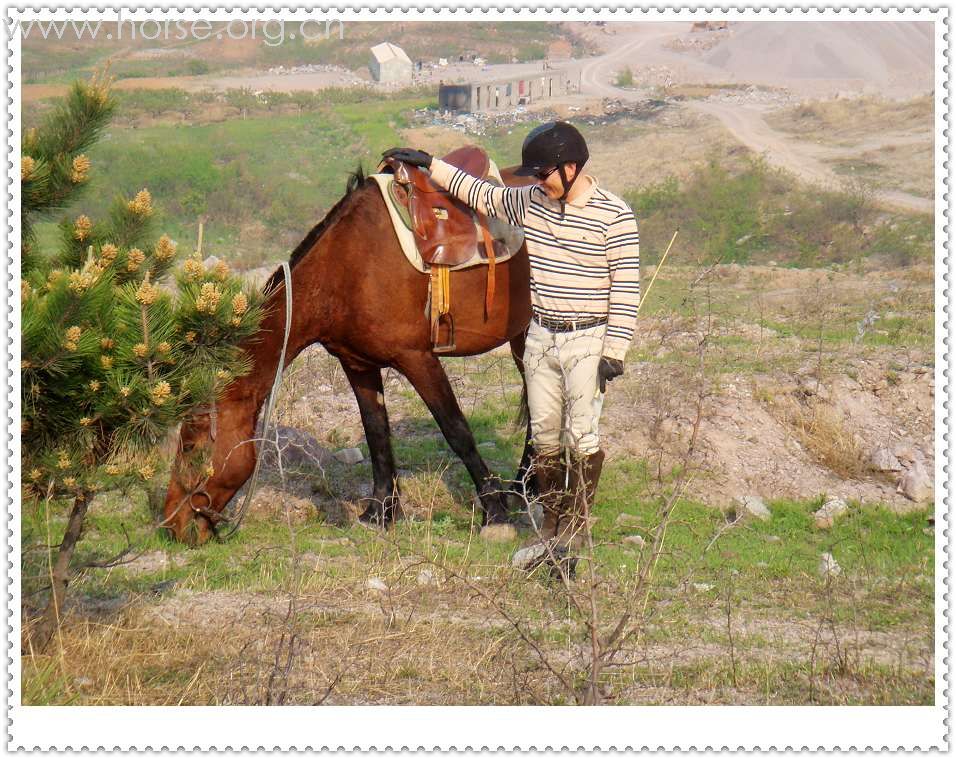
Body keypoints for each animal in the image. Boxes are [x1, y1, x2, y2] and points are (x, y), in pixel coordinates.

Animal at [166, 168, 536, 544]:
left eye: (191, 447)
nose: (173, 525)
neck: (347, 267)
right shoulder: (358, 364)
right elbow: (376, 432)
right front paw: (379, 512)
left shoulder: (418, 359)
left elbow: (456, 429)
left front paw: (494, 512)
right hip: (523, 338)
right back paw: (523, 487)